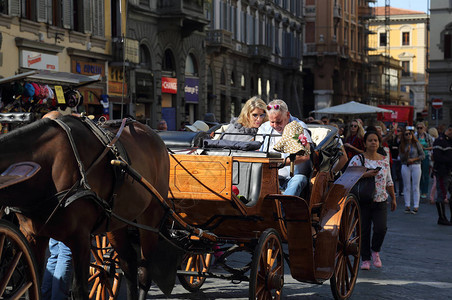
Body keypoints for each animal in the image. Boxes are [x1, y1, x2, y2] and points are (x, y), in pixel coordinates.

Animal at [0, 114, 174, 298]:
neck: (48, 166)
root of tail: (155, 136)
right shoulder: (32, 236)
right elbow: (33, 285)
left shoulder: (80, 239)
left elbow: (79, 290)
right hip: (117, 221)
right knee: (129, 262)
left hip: (151, 218)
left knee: (144, 273)